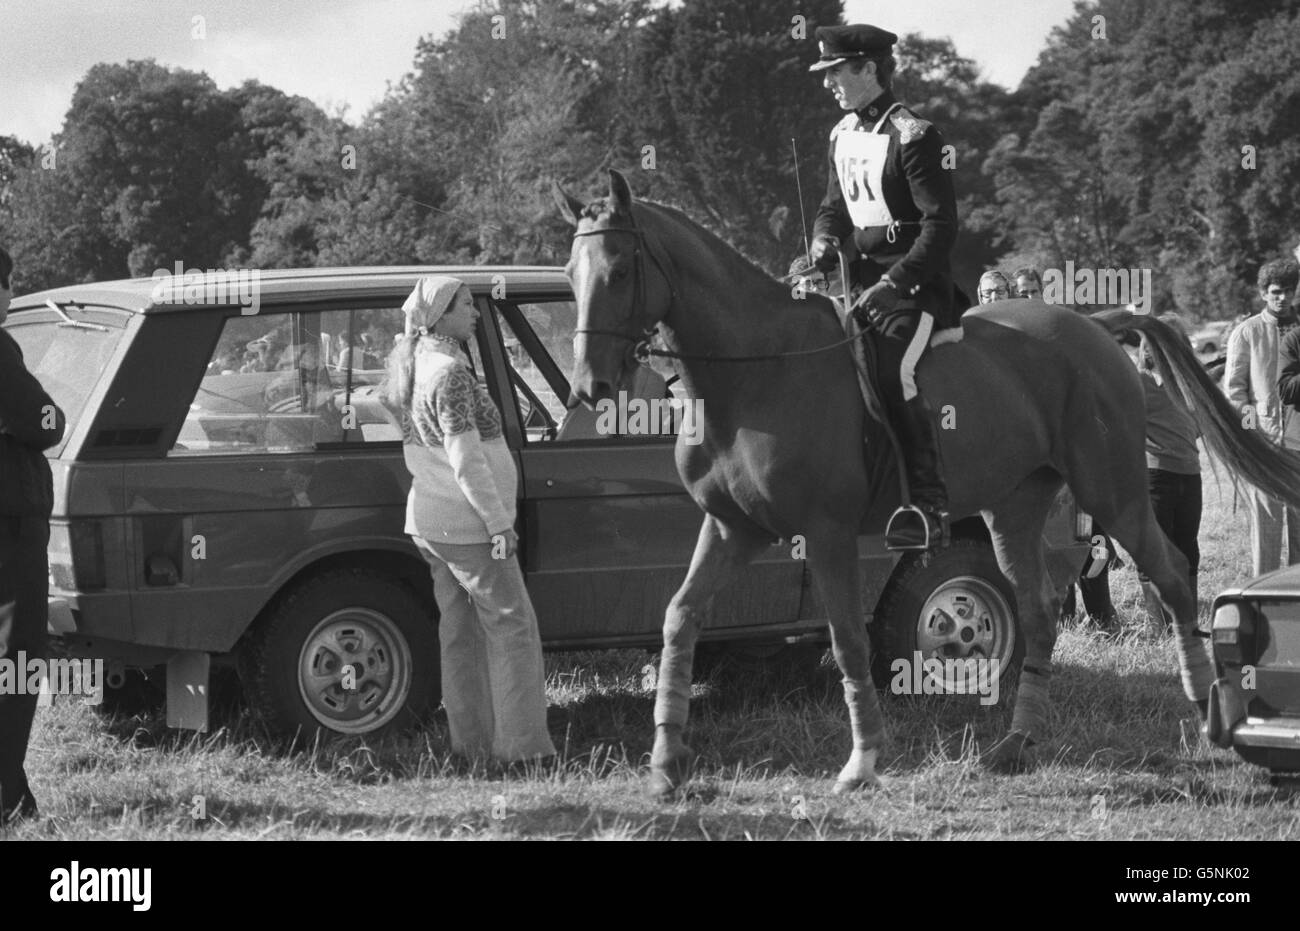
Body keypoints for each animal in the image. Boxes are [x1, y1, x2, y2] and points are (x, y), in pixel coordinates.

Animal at [553, 167, 1300, 790]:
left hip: (1112, 492)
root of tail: (1096, 325)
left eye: (619, 269)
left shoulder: (826, 534)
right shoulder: (733, 527)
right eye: (569, 271)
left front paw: (862, 761)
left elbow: (848, 640)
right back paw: (1016, 745)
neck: (755, 373)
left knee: (1169, 573)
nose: (590, 386)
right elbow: (679, 619)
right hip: (1014, 510)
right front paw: (666, 761)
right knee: (1038, 610)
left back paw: (1206, 718)